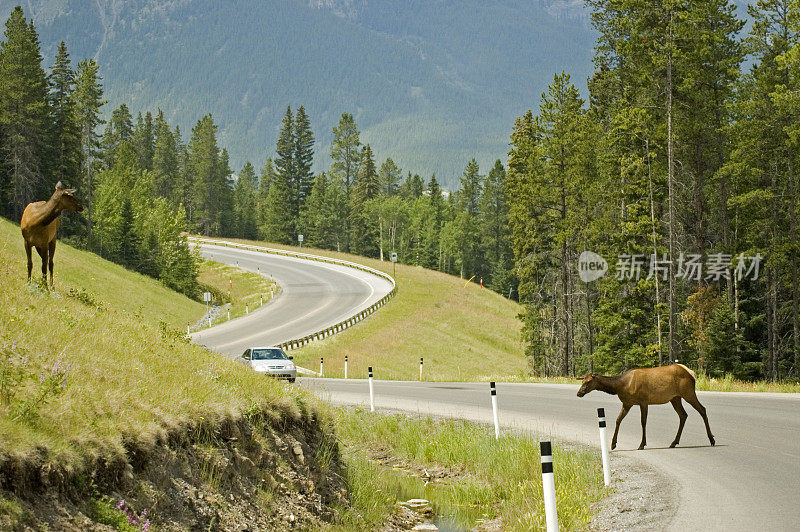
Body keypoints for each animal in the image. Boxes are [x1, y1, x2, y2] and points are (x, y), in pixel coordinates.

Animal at [580, 362, 716, 448]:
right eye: (582, 381)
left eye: (588, 381)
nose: (579, 392)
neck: (621, 386)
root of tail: (691, 373)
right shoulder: (627, 403)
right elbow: (618, 420)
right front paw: (613, 444)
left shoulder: (643, 401)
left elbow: (643, 422)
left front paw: (642, 444)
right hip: (675, 398)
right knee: (683, 415)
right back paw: (674, 442)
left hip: (688, 393)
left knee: (702, 409)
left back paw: (712, 439)